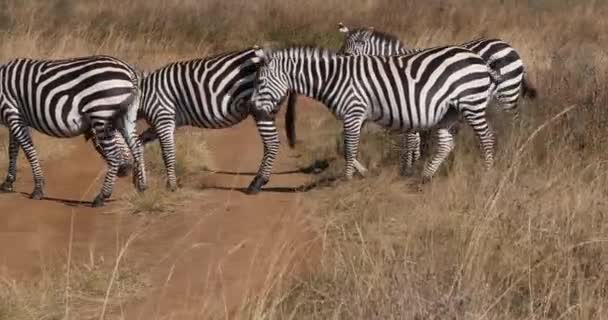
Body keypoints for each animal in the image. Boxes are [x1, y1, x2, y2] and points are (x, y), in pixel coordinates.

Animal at [0, 55, 147, 208]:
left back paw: (101, 197)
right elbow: (13, 150)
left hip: (102, 112)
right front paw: (8, 182)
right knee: (137, 147)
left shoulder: (13, 113)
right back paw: (141, 188)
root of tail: (130, 71)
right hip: (127, 115)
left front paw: (38, 189)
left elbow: (28, 151)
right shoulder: (17, 119)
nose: (125, 170)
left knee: (114, 155)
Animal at [111, 46, 296, 191]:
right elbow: (140, 142)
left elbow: (167, 152)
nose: (121, 173)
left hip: (262, 108)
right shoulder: (164, 123)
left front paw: (171, 185)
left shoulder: (163, 117)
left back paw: (257, 183)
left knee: (272, 143)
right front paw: (139, 181)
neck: (143, 96)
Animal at [246, 45, 498, 192]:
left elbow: (349, 147)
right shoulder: (358, 116)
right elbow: (343, 147)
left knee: (487, 138)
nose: (251, 108)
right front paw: (364, 173)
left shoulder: (353, 112)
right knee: (446, 143)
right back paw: (424, 179)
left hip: (472, 103)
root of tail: (478, 58)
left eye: (260, 82)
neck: (332, 78)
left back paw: (487, 174)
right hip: (449, 112)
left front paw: (347, 180)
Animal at [284, 22, 536, 176]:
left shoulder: (408, 103)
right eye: (342, 47)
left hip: (507, 94)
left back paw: (512, 150)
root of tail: (507, 45)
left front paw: (407, 168)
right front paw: (410, 165)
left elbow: (409, 140)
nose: (339, 61)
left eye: (352, 50)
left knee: (513, 124)